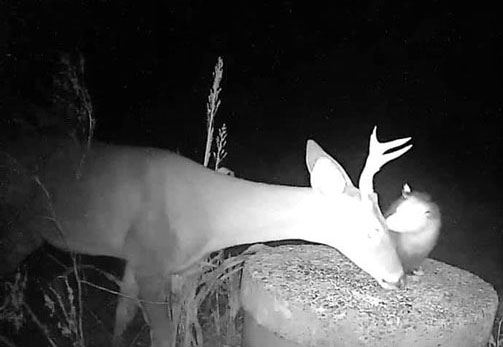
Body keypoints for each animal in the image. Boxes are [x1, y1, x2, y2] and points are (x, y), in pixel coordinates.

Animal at [0, 126, 414, 346]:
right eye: (373, 229)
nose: (398, 277)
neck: (211, 219)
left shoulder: (168, 266)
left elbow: (127, 317)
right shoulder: (150, 263)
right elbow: (162, 334)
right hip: (18, 227)